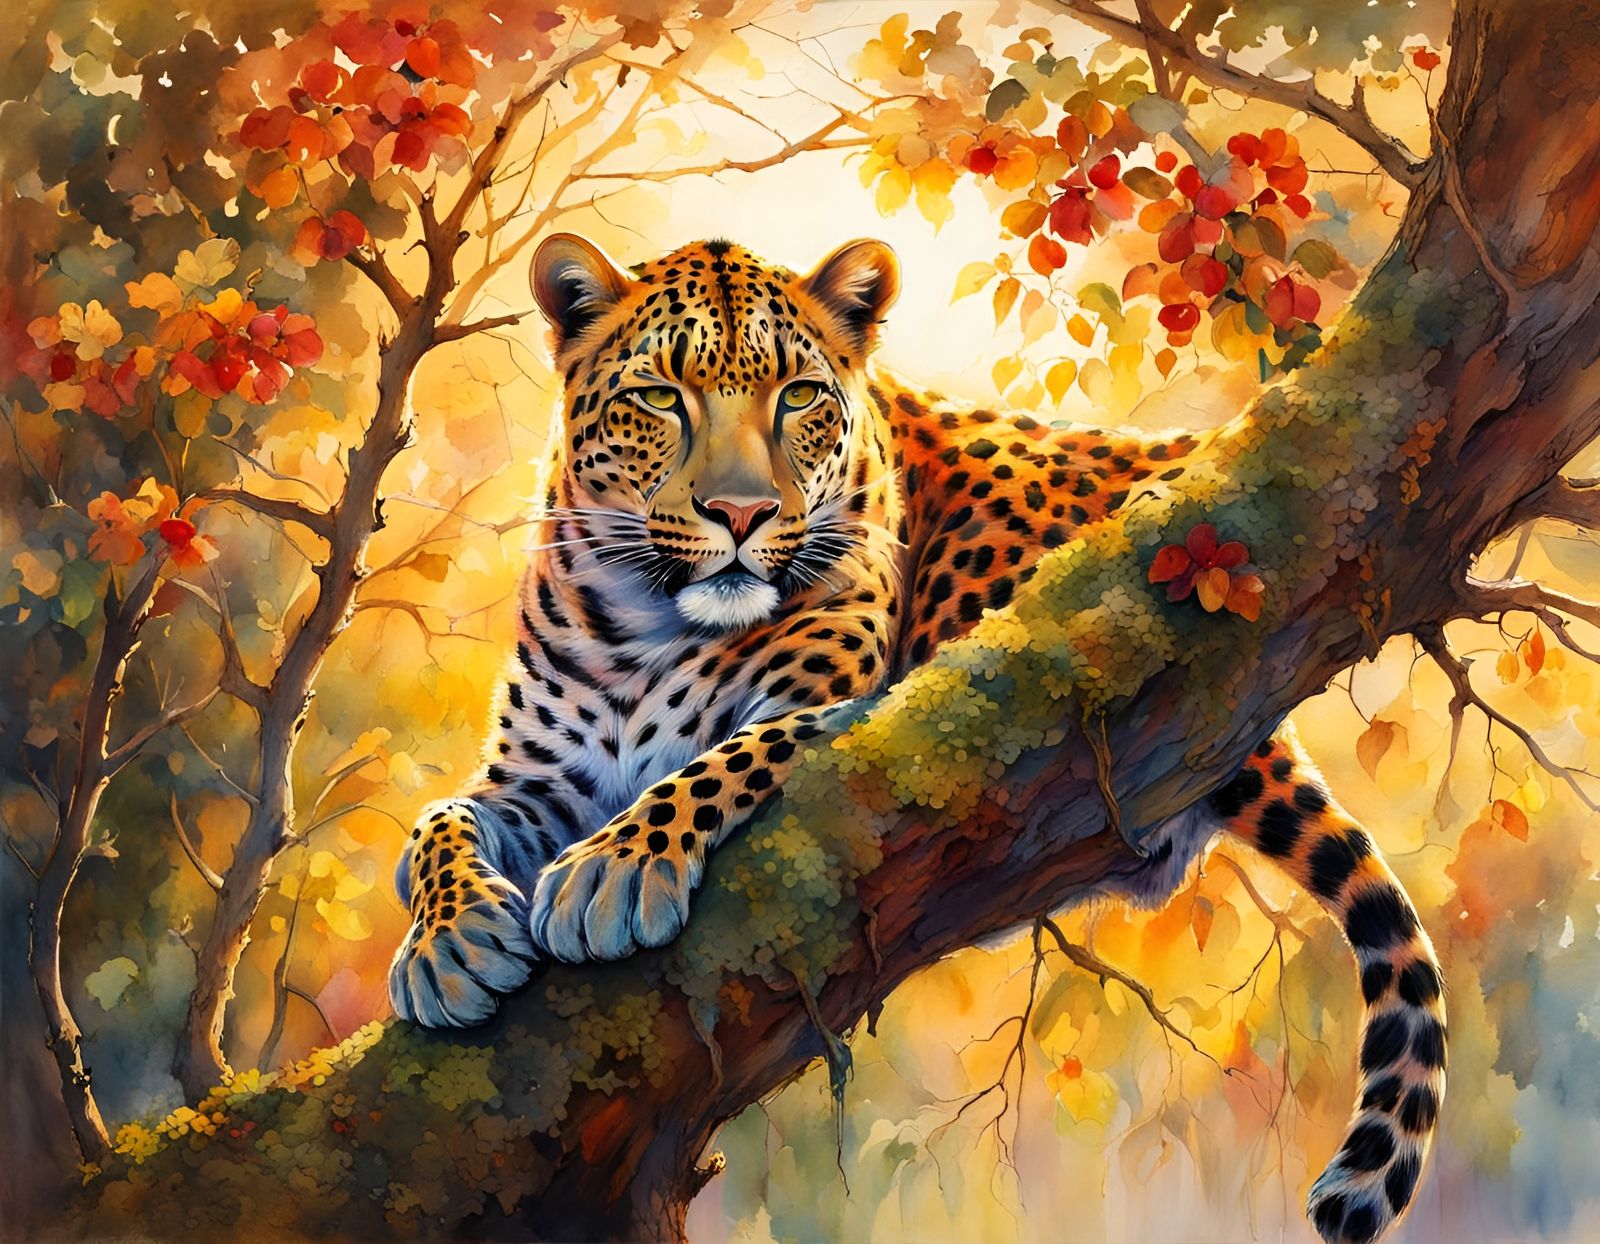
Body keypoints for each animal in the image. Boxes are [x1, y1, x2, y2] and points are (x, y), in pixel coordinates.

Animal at [387, 233, 1445, 1244]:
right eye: (660, 397)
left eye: (799, 396)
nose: (742, 514)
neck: (645, 625)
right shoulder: (537, 779)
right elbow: (443, 819)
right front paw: (447, 948)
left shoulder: (837, 713)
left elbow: (714, 764)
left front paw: (614, 870)